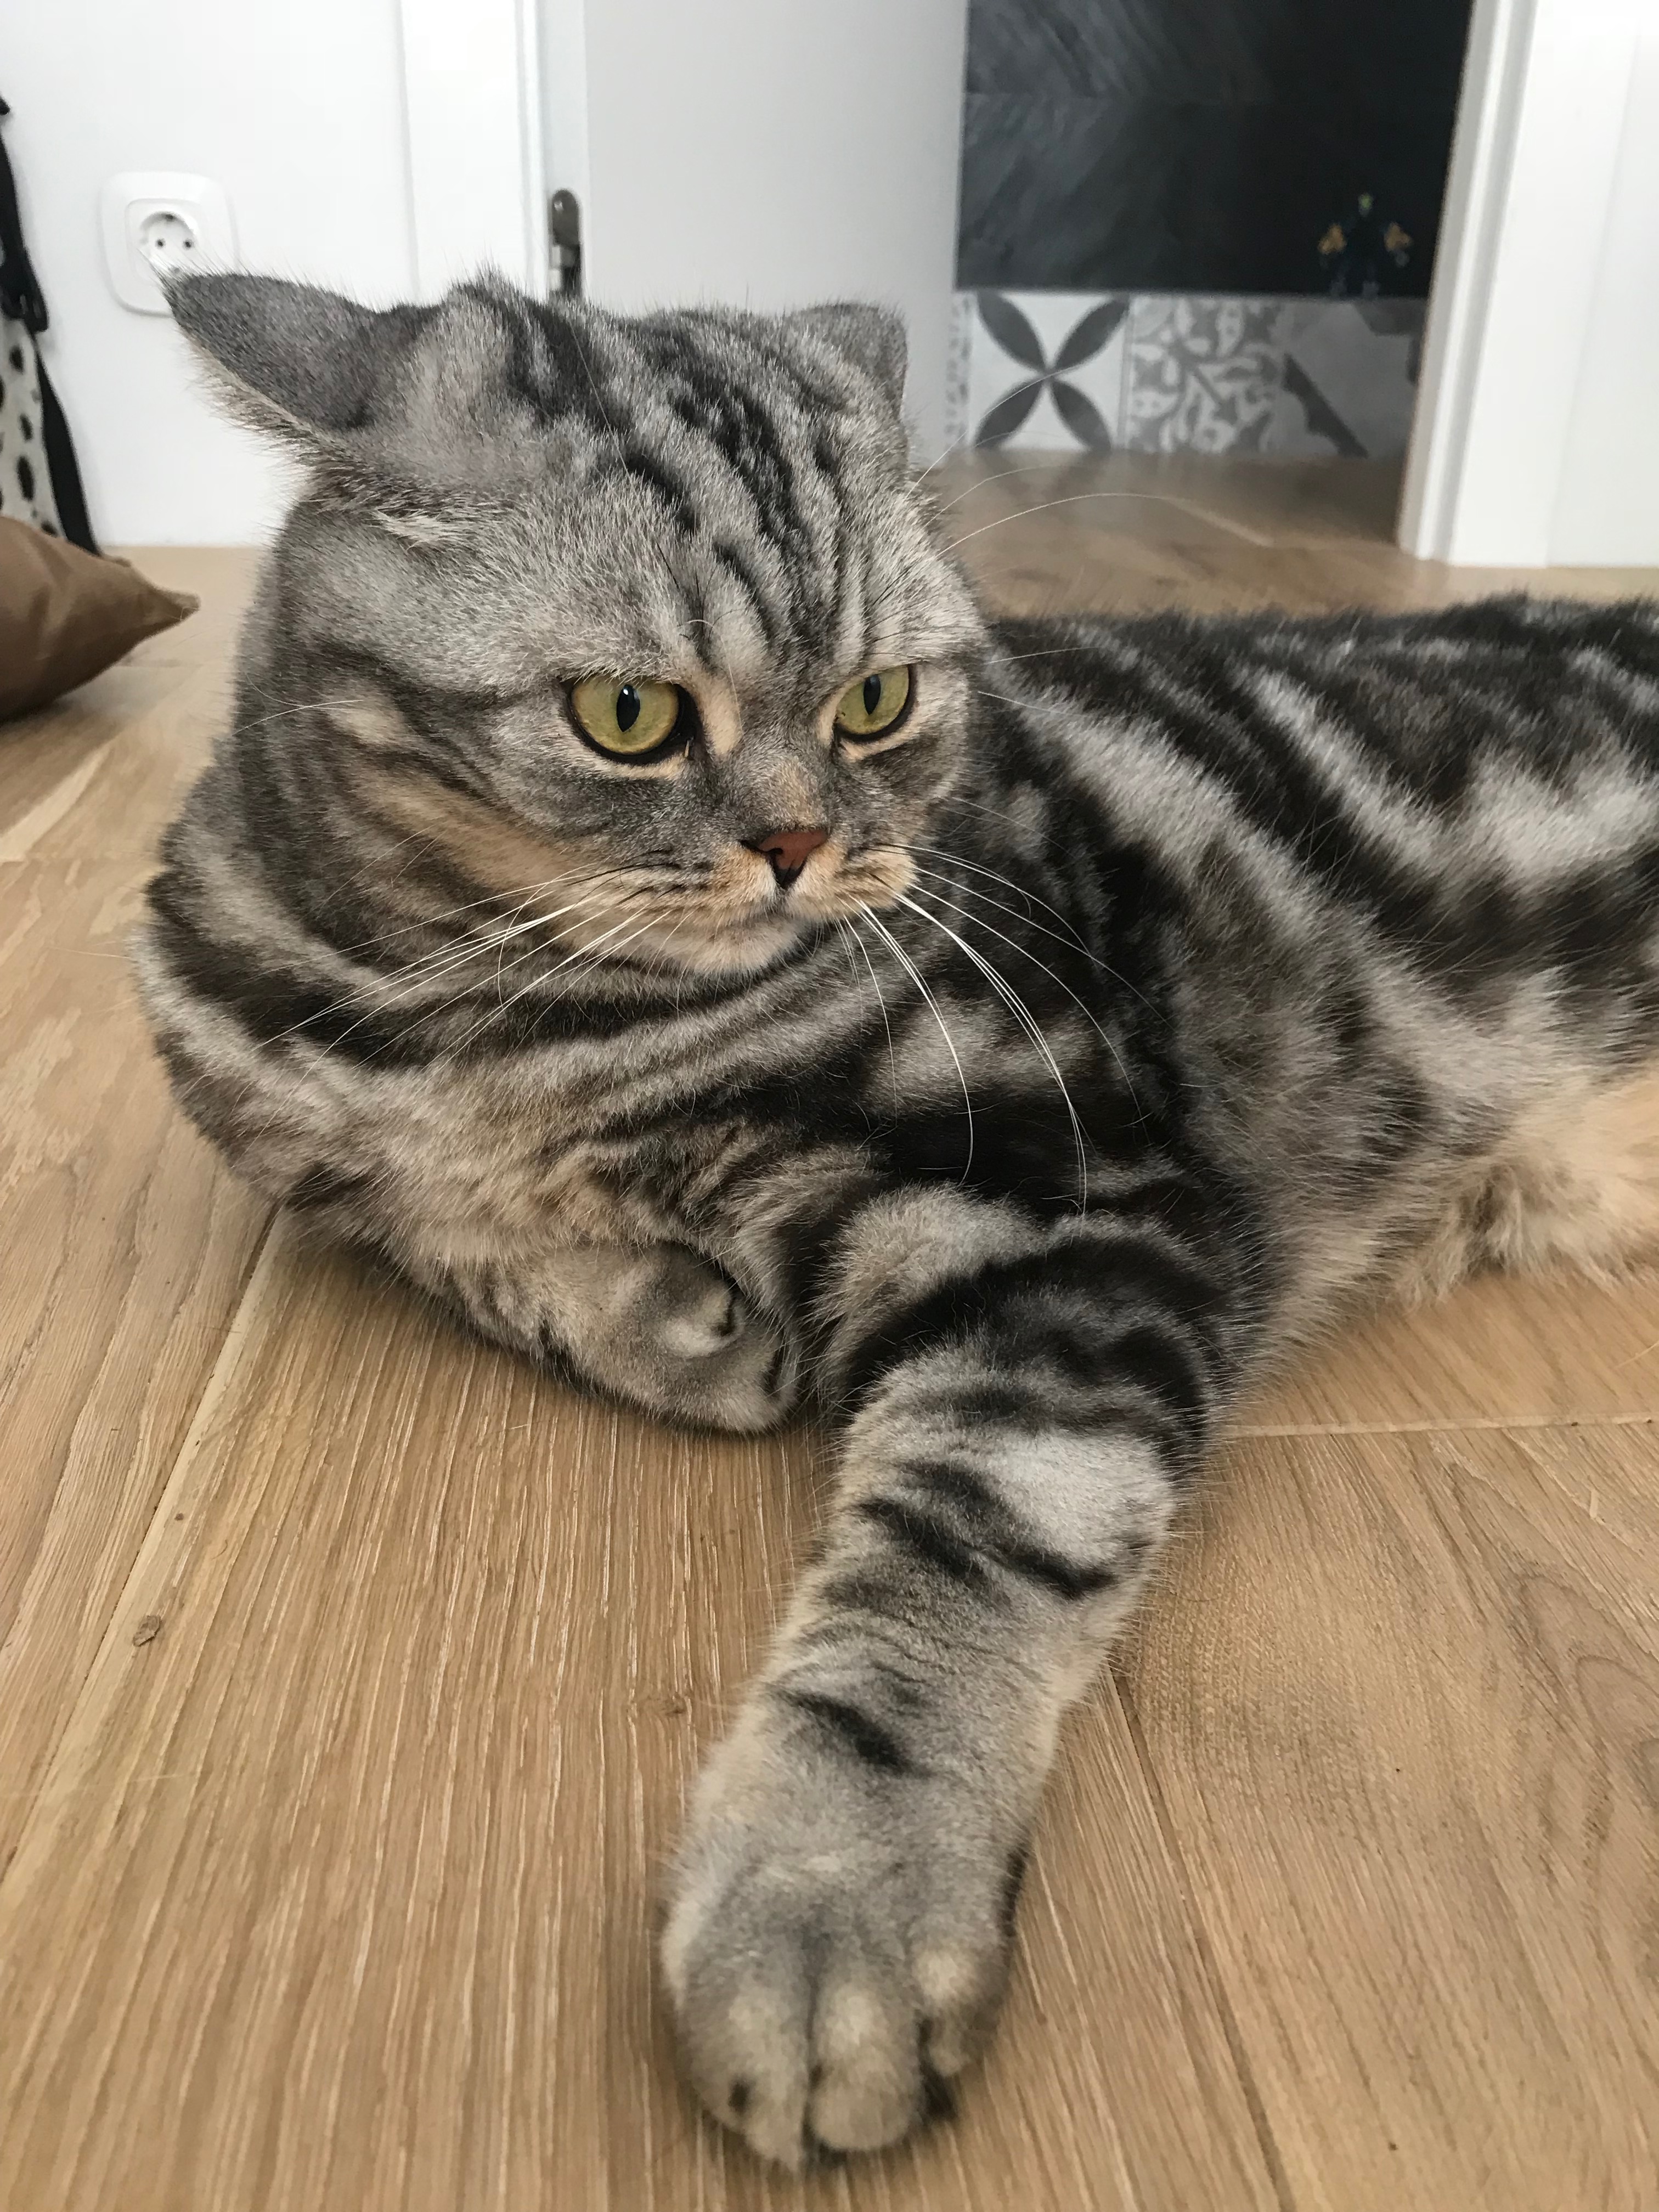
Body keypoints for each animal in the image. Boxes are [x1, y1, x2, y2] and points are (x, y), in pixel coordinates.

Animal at [138, 271, 1659, 2169]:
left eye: (876, 702)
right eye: (629, 715)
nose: (803, 847)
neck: (463, 1014)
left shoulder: (1072, 1213)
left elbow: (954, 1563)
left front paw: (828, 1895)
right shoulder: (280, 1119)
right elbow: (422, 1224)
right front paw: (660, 1313)